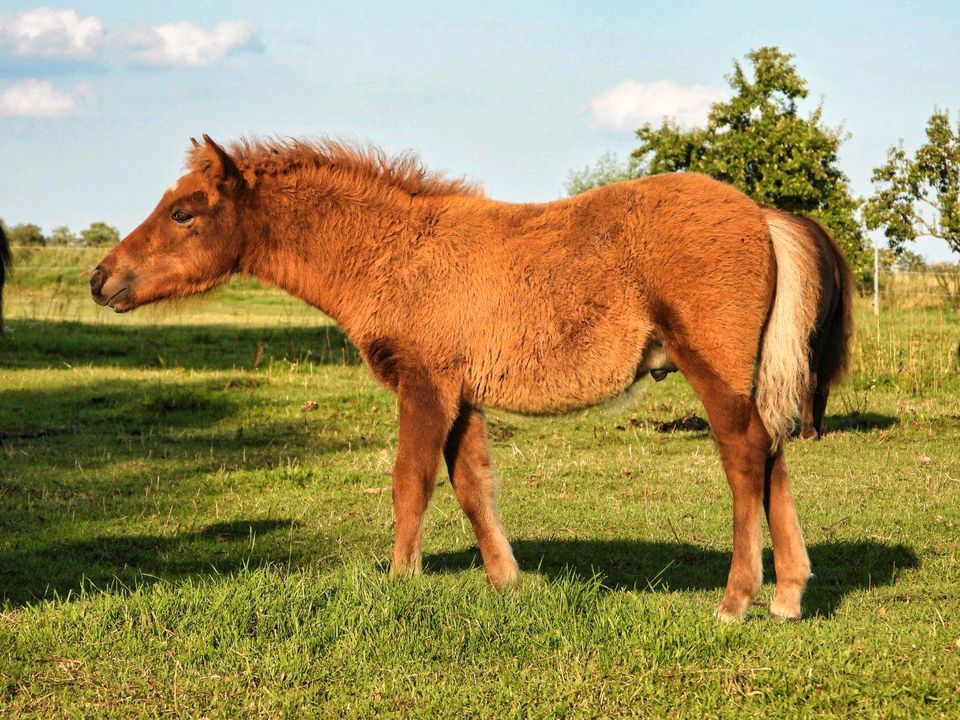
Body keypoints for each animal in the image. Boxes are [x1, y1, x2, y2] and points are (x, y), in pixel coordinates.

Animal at [88, 138, 840, 620]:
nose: (101, 278)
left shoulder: (424, 385)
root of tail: (761, 214)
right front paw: (509, 581)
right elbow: (473, 484)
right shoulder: (463, 395)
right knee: (771, 454)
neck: (393, 252)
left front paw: (400, 579)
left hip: (711, 366)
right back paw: (788, 597)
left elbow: (411, 480)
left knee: (744, 457)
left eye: (183, 211)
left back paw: (737, 600)